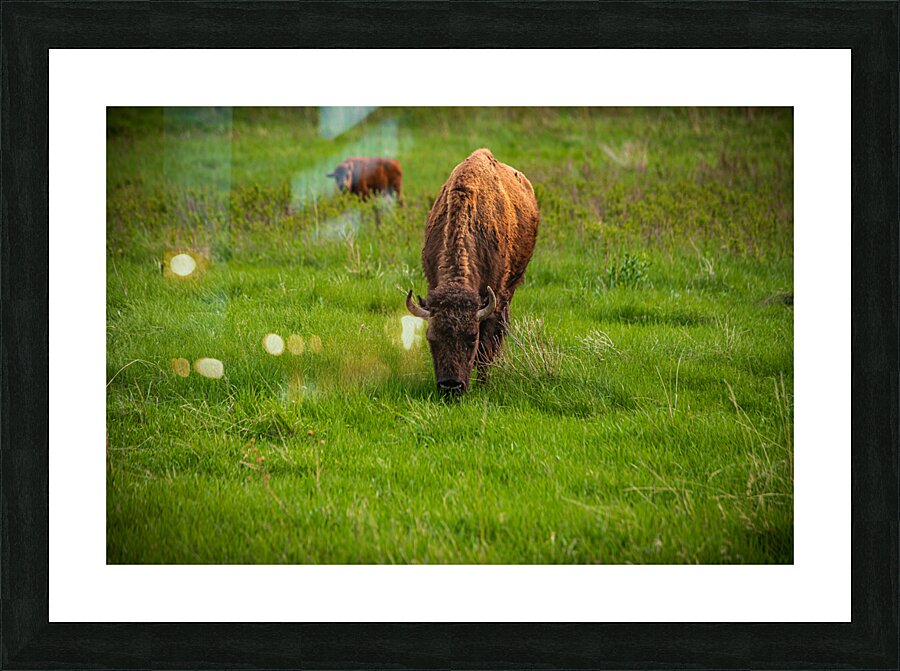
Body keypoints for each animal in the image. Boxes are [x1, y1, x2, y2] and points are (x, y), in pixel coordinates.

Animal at [406, 148, 539, 394]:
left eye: (471, 337)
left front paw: (483, 384)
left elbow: (486, 348)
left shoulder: (493, 300)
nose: (451, 386)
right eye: (431, 338)